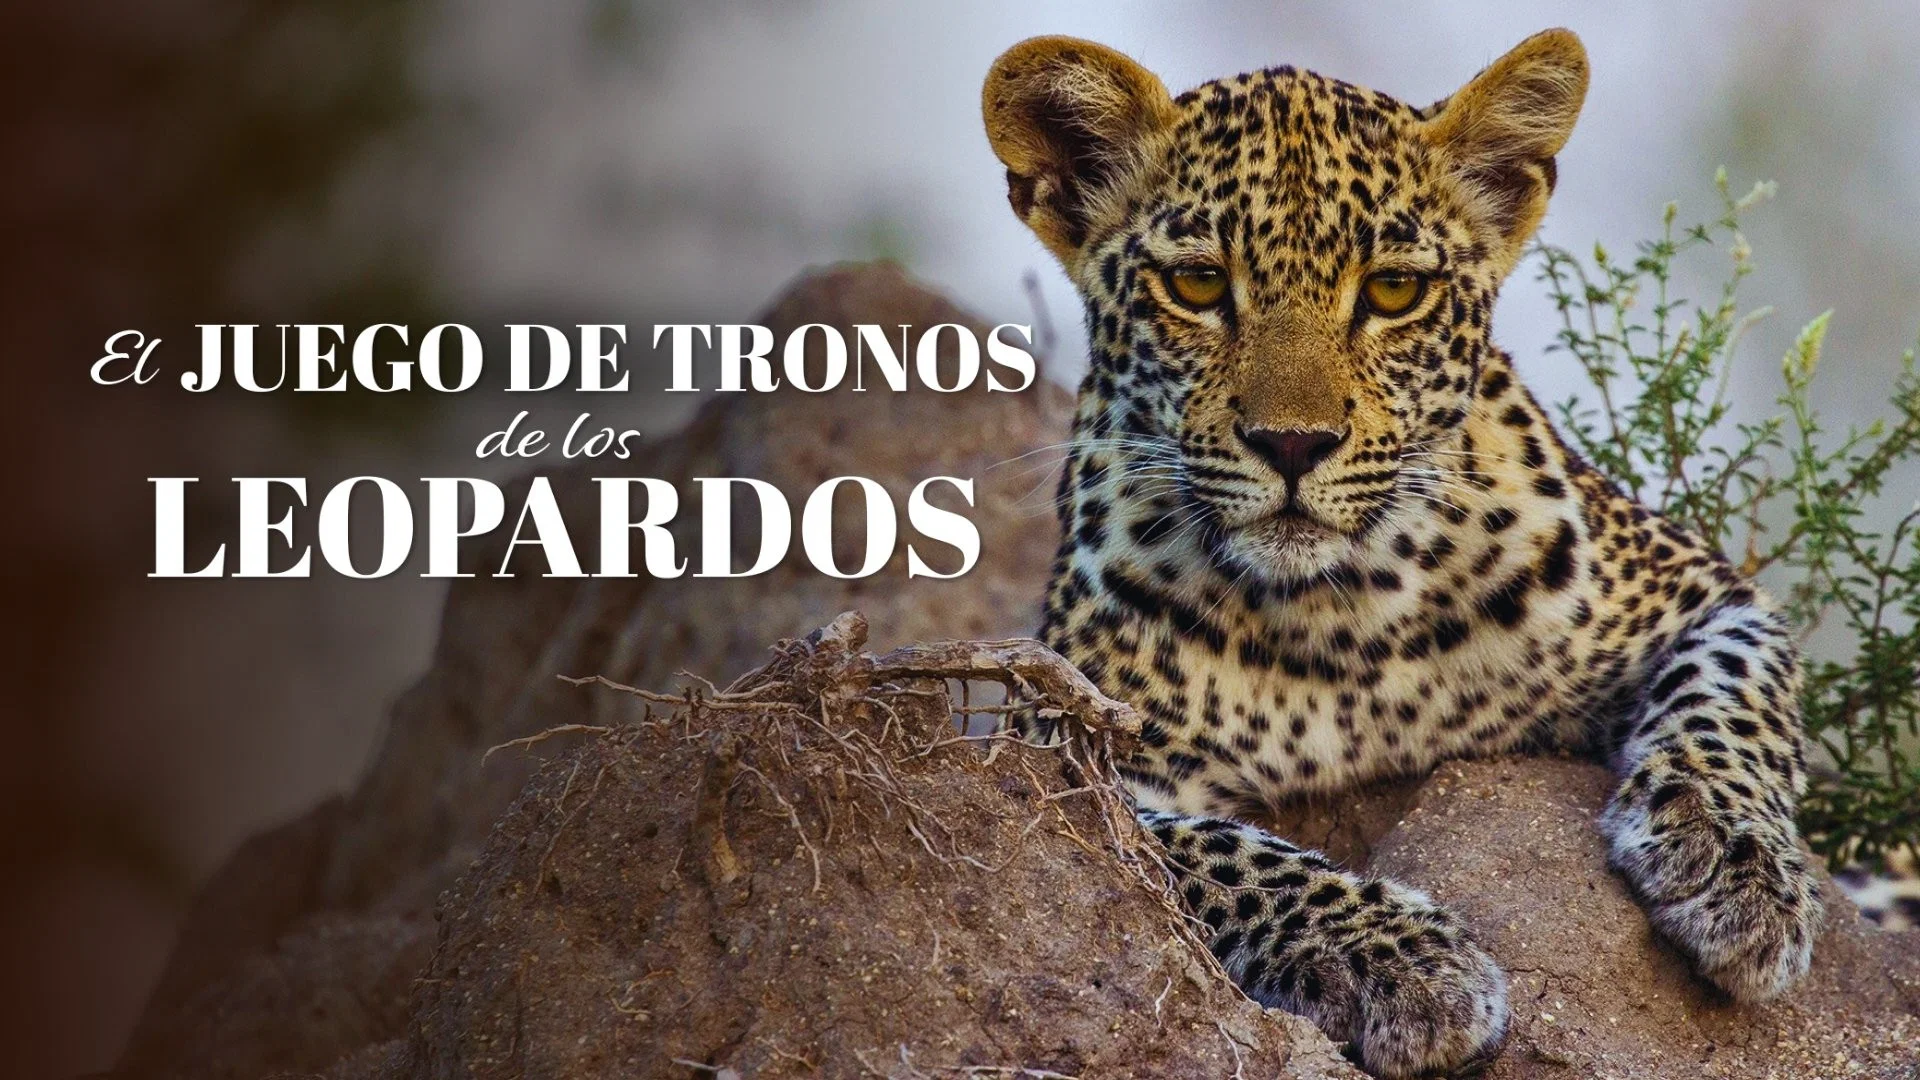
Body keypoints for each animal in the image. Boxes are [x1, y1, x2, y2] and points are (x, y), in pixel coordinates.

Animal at [977, 28, 1876, 1077]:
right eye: (1197, 284)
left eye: (1394, 290)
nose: (1293, 444)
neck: (1336, 615)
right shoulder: (1058, 750)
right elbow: (1220, 851)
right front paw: (1397, 959)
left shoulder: (1703, 588)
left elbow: (1732, 697)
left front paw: (1735, 866)